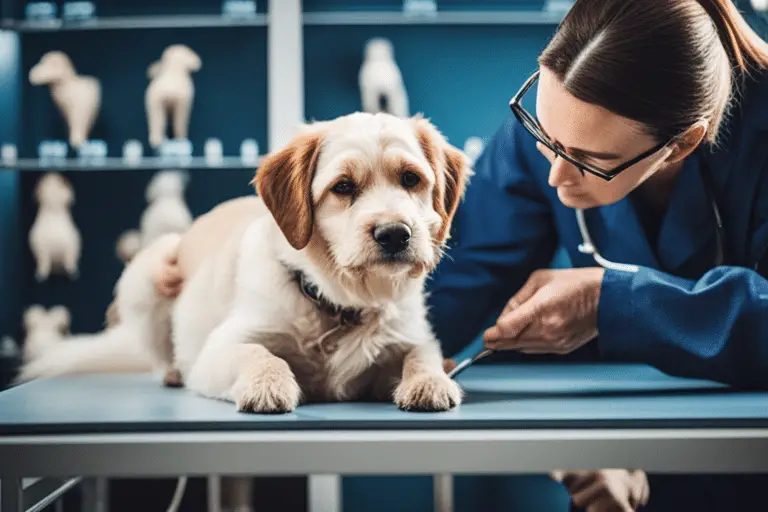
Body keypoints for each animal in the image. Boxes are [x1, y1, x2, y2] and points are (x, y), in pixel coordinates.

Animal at [18, 110, 472, 414]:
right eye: (343, 187)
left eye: (411, 179)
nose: (395, 234)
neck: (341, 304)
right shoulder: (218, 350)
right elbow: (259, 354)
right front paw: (268, 386)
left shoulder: (411, 338)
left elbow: (421, 356)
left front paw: (431, 381)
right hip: (149, 268)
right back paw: (171, 371)